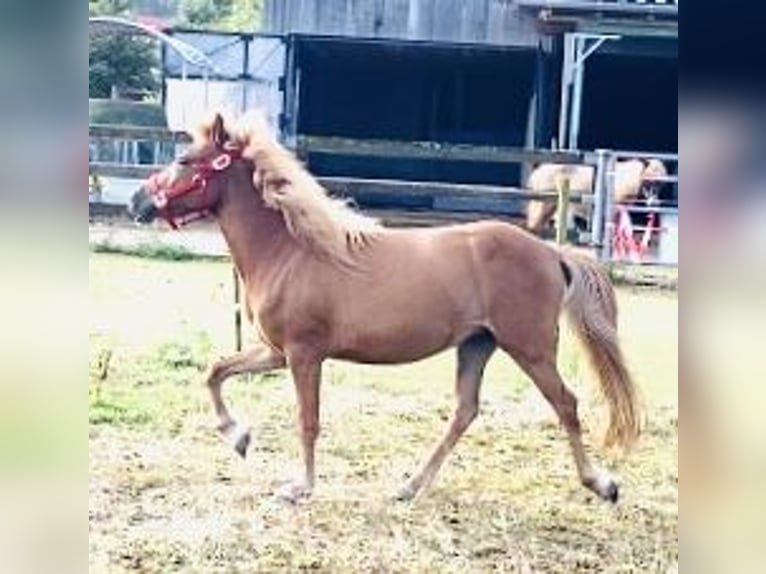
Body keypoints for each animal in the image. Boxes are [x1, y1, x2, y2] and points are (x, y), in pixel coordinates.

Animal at [130, 111, 640, 504]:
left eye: (184, 160)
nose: (138, 201)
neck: (291, 251)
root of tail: (551, 253)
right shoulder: (275, 351)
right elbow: (216, 370)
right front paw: (238, 437)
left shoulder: (303, 355)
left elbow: (307, 421)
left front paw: (299, 487)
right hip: (477, 344)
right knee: (465, 411)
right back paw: (410, 486)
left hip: (530, 348)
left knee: (565, 404)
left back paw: (602, 484)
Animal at [524, 159, 668, 235]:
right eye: (648, 182)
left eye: (661, 185)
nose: (654, 203)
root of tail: (536, 172)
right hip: (543, 199)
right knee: (535, 219)